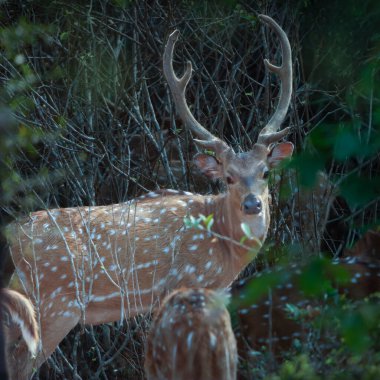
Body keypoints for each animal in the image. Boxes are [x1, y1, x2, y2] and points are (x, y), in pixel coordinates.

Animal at [5, 14, 294, 378]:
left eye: (265, 172)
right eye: (227, 177)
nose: (252, 203)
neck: (224, 248)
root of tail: (12, 233)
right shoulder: (182, 283)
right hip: (56, 302)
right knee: (21, 362)